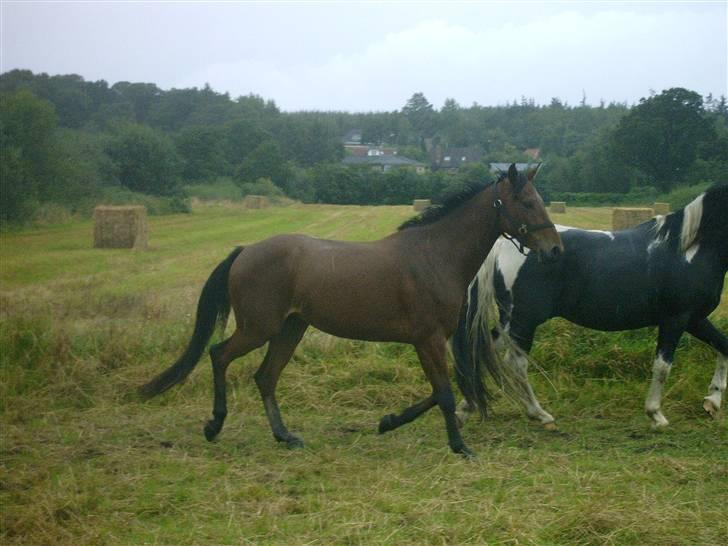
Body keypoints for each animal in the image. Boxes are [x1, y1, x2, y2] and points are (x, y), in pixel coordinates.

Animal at [142, 163, 564, 454]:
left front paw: (388, 422)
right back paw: (214, 425)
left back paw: (285, 436)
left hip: (290, 328)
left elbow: (438, 391)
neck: (434, 255)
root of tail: (245, 250)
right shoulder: (427, 339)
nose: (555, 250)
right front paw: (460, 447)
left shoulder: (427, 341)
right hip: (258, 328)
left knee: (265, 377)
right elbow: (443, 393)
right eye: (527, 202)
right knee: (219, 355)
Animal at [456, 185, 728, 428]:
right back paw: (539, 414)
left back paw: (466, 408)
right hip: (524, 320)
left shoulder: (694, 318)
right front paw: (656, 414)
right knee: (515, 362)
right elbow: (662, 366)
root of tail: (503, 244)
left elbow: (723, 346)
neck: (688, 250)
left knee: (484, 349)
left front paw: (712, 402)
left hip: (510, 320)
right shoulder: (675, 319)